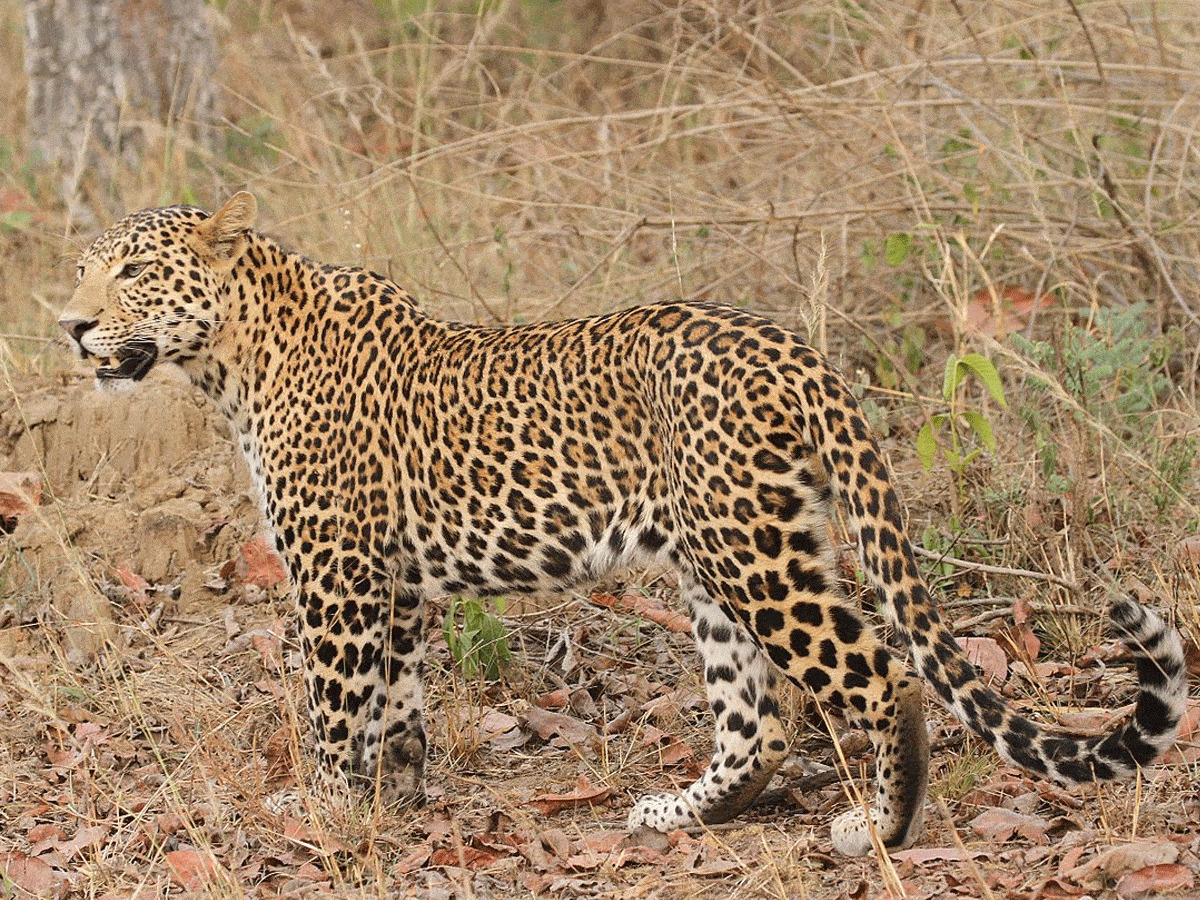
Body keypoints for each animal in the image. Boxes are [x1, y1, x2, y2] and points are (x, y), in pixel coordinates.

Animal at [58, 192, 1188, 856]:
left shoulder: (338, 574)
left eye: (131, 272)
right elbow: (399, 702)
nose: (68, 325)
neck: (231, 361)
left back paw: (882, 823)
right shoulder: (397, 581)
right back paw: (685, 812)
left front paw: (330, 809)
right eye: (83, 267)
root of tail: (797, 351)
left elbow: (339, 704)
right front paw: (397, 797)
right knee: (758, 718)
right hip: (723, 553)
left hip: (751, 553)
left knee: (875, 671)